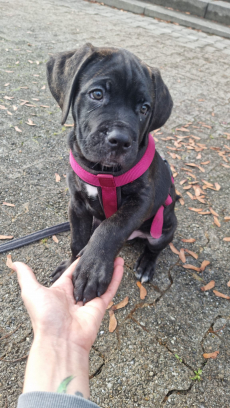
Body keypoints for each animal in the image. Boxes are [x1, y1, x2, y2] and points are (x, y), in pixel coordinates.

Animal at [45, 43, 177, 302]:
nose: (121, 140)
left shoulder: (141, 202)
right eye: (97, 94)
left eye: (144, 109)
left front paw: (92, 269)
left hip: (164, 230)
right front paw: (70, 265)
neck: (103, 173)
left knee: (153, 249)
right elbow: (77, 240)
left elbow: (111, 228)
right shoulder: (76, 204)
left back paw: (146, 265)